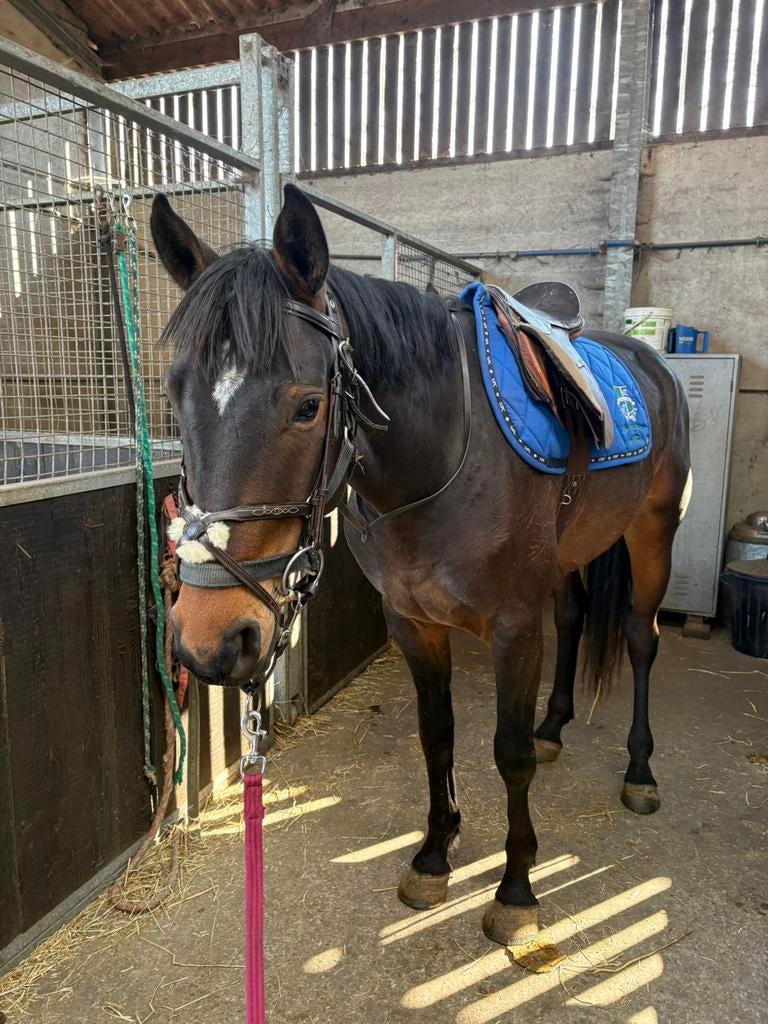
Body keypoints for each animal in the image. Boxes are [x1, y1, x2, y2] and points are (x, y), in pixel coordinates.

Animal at [150, 184, 690, 946]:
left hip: (652, 534)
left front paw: (516, 892)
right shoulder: (412, 623)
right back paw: (556, 726)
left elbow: (509, 752)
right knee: (575, 619)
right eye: (175, 395)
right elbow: (437, 739)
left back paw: (640, 771)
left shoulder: (513, 628)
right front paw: (435, 857)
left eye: (308, 406)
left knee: (643, 638)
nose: (209, 639)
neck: (440, 461)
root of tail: (652, 364)